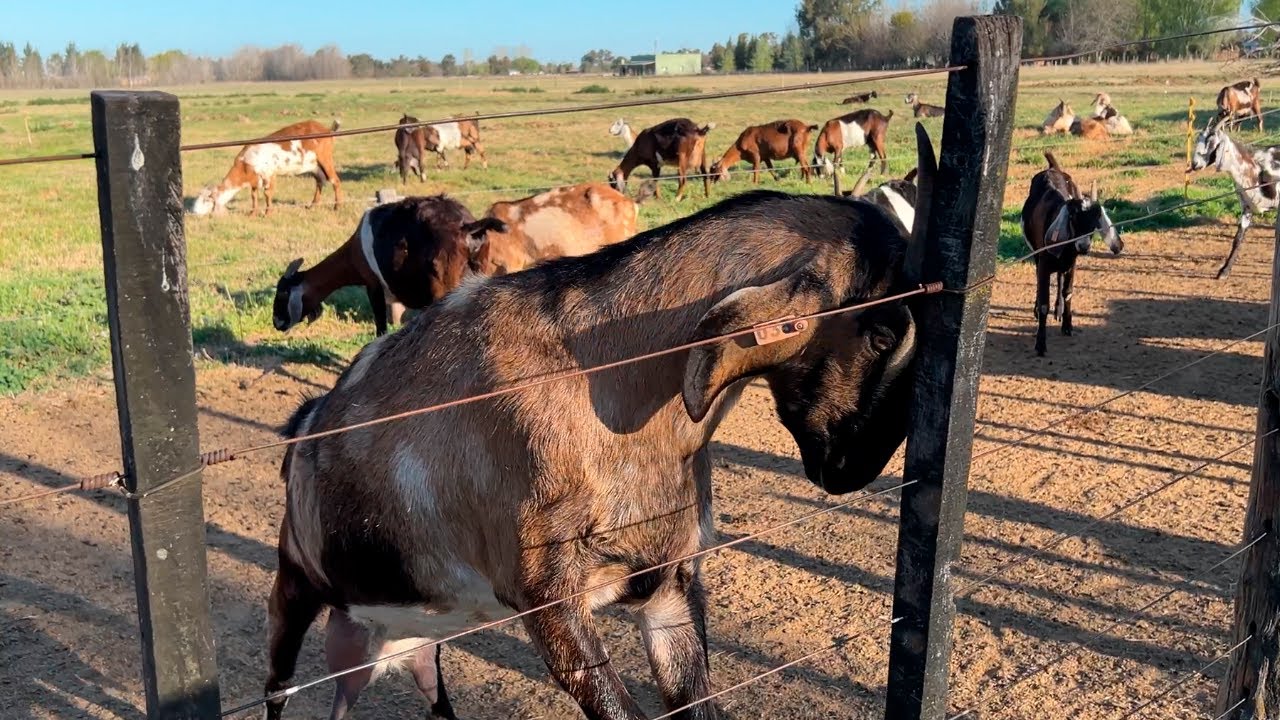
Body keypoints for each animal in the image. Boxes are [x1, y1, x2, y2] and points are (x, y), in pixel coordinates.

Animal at [191, 119, 342, 216]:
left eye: (206, 200)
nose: (195, 212)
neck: (245, 163)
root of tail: (327, 129)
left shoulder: (269, 174)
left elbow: (267, 194)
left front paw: (268, 213)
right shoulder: (254, 180)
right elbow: (254, 196)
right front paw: (252, 213)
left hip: (325, 158)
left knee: (335, 180)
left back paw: (337, 206)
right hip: (314, 165)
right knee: (320, 182)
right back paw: (312, 206)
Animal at [271, 195, 505, 337]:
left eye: (282, 293)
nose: (276, 322)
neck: (356, 247)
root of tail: (468, 227)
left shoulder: (372, 285)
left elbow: (381, 329)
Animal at [1021, 152, 1122, 356]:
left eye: (1095, 221)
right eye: (1073, 218)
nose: (1083, 246)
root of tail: (1052, 167)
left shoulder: (1071, 262)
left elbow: (1067, 292)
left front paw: (1067, 325)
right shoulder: (1044, 264)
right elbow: (1043, 302)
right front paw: (1040, 344)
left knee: (1060, 279)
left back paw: (1058, 311)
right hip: (1037, 255)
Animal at [1188, 112, 1280, 278]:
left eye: (1212, 142)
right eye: (1198, 139)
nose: (1195, 164)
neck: (1255, 167)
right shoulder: (1246, 207)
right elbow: (1238, 238)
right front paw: (1224, 271)